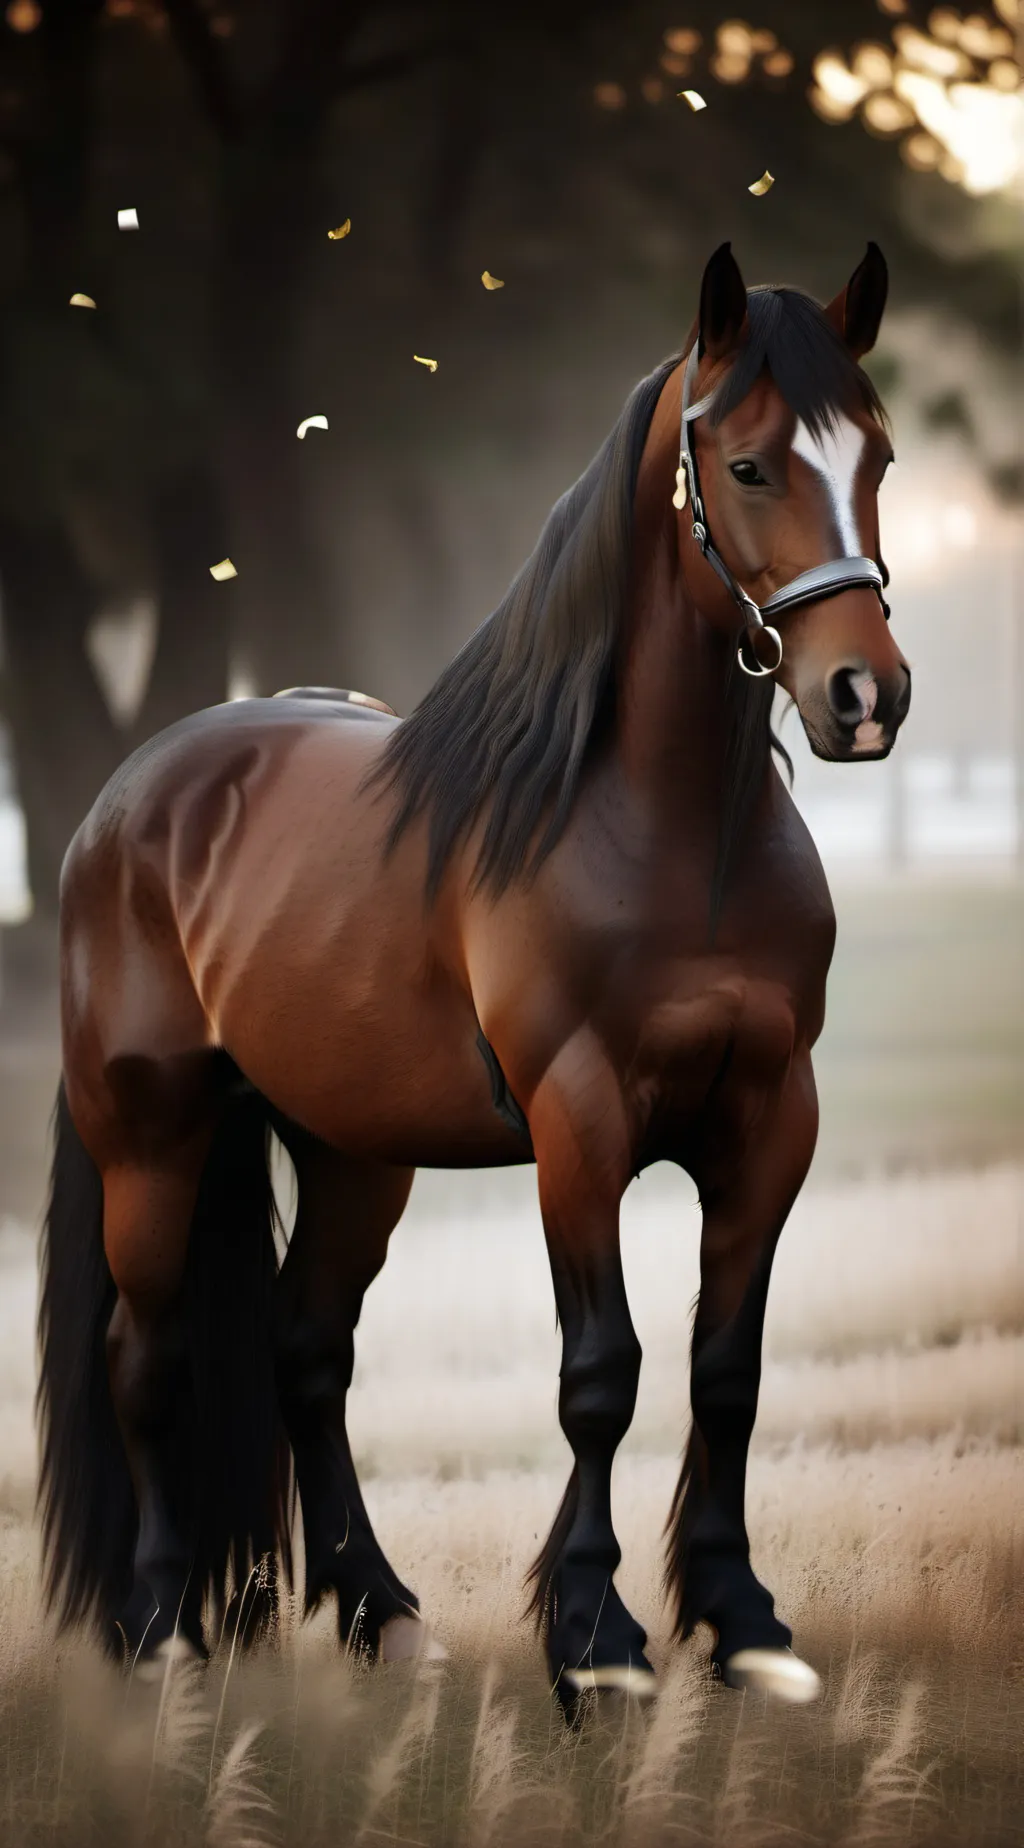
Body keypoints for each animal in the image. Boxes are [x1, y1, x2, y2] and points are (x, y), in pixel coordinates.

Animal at [38, 240, 909, 1712]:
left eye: (883, 457)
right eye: (745, 466)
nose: (866, 697)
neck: (670, 833)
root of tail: (127, 801)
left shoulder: (770, 1119)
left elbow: (724, 1369)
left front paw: (741, 1625)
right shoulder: (580, 1121)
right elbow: (601, 1374)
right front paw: (596, 1643)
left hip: (351, 1153)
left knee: (304, 1353)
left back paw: (381, 1616)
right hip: (150, 1139)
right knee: (145, 1363)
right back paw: (162, 1637)